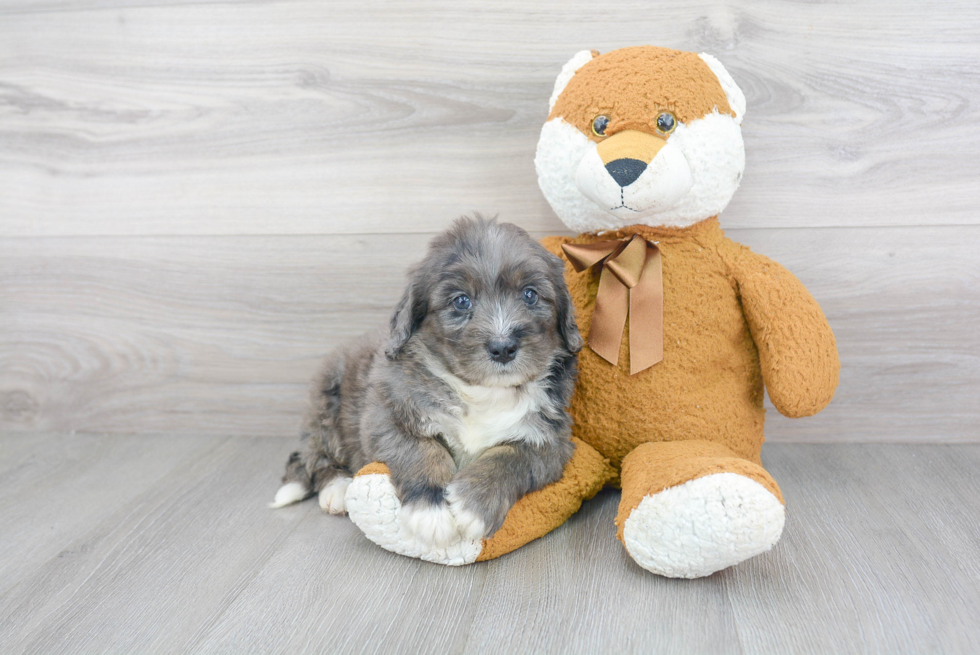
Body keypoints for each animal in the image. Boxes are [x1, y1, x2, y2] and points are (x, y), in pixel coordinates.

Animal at [270, 217, 580, 548]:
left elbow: (509, 457)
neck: (481, 391)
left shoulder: (551, 441)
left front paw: (473, 505)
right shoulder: (386, 417)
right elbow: (421, 449)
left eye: (530, 295)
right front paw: (431, 509)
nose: (503, 347)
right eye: (461, 301)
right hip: (325, 405)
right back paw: (337, 489)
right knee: (318, 457)